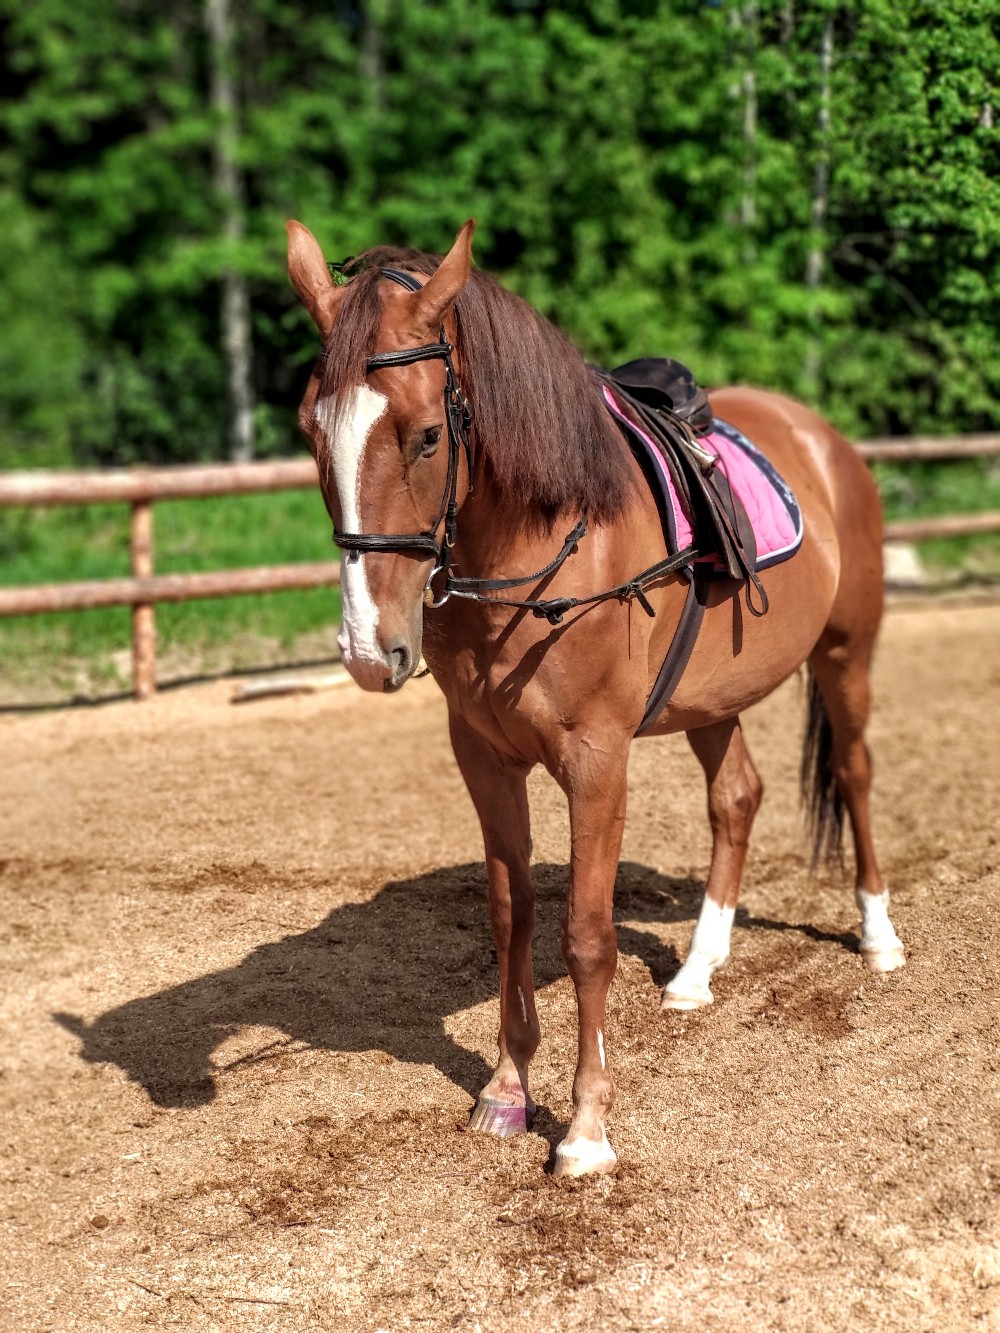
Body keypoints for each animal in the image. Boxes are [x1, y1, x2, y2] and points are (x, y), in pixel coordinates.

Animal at [285, 215, 906, 1178]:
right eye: (312, 430)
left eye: (427, 436)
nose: (366, 648)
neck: (539, 544)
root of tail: (820, 437)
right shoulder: (483, 756)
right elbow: (511, 917)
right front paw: (507, 1091)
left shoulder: (596, 759)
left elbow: (586, 934)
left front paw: (584, 1127)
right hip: (711, 697)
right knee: (737, 796)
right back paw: (696, 971)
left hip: (847, 655)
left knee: (858, 774)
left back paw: (877, 936)